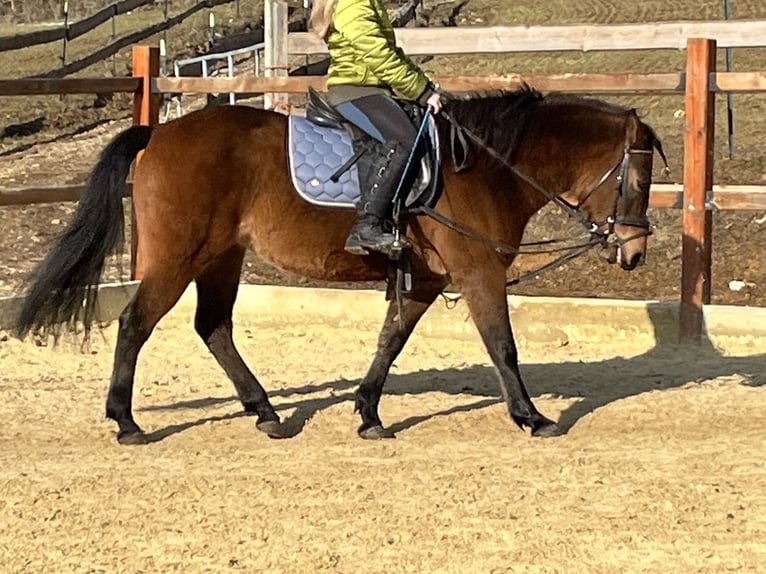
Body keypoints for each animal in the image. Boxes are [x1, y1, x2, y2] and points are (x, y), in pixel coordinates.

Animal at [15, 88, 668, 446]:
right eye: (638, 179)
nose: (634, 251)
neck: (487, 166)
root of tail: (160, 132)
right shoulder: (479, 271)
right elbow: (502, 346)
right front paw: (531, 417)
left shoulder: (426, 279)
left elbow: (390, 341)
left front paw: (368, 412)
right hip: (179, 256)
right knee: (135, 324)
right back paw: (127, 422)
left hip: (222, 255)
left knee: (214, 327)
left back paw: (266, 412)